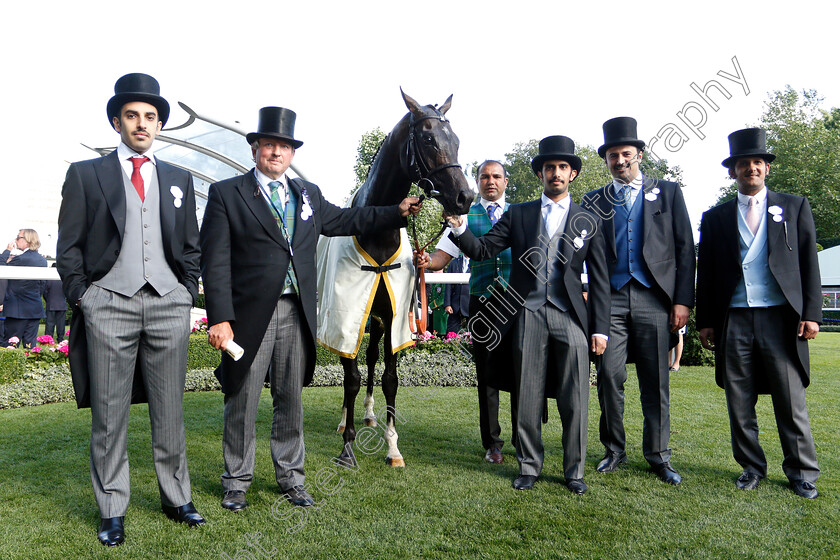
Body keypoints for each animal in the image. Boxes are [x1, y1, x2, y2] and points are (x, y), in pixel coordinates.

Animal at [330, 92, 472, 466]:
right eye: (428, 138)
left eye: (455, 139)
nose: (464, 198)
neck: (374, 231)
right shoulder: (347, 314)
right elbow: (350, 377)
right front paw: (347, 446)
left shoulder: (394, 317)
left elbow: (390, 378)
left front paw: (393, 447)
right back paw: (345, 420)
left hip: (378, 320)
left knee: (370, 358)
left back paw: (368, 414)